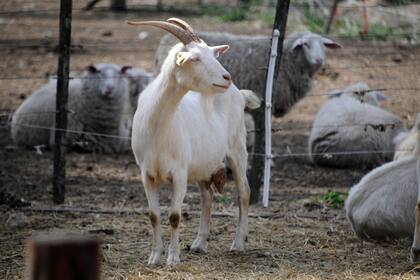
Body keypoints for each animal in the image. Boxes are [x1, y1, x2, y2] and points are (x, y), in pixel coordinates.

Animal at [128, 18, 256, 266]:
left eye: (213, 54)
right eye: (195, 58)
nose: (227, 77)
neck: (158, 127)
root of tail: (239, 93)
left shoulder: (179, 173)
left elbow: (174, 216)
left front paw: (172, 259)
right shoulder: (147, 174)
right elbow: (154, 215)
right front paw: (154, 257)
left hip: (237, 148)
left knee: (243, 191)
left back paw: (238, 243)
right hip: (202, 164)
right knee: (207, 196)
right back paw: (199, 243)